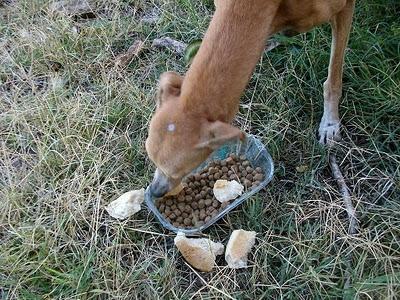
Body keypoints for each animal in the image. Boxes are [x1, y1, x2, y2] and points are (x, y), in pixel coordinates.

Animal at [145, 0, 354, 197]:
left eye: (178, 171)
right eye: (151, 158)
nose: (155, 191)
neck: (251, 5)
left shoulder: (344, 8)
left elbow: (334, 76)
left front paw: (330, 123)